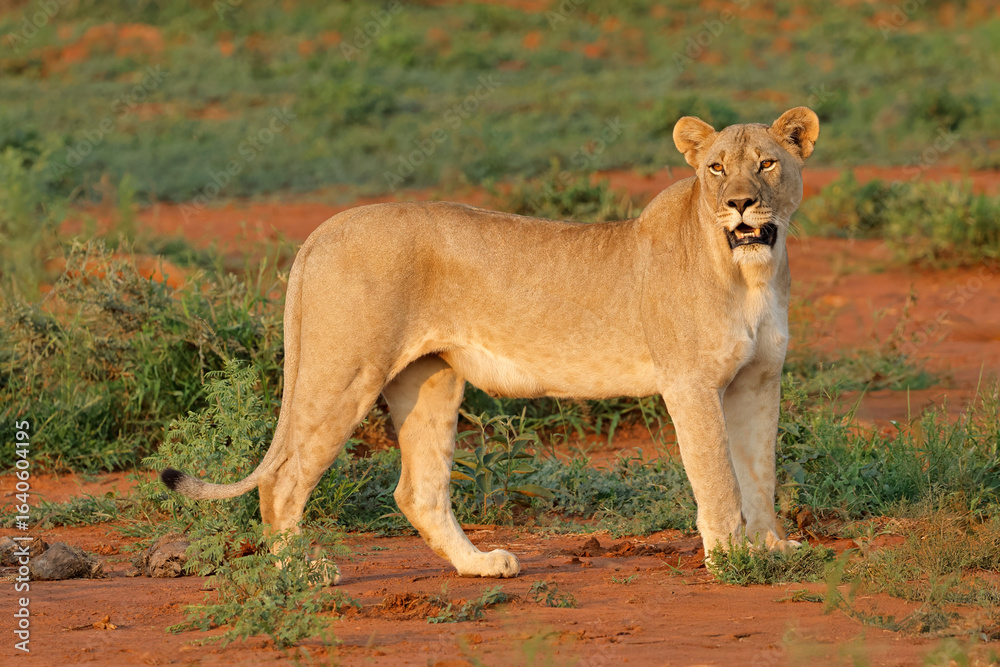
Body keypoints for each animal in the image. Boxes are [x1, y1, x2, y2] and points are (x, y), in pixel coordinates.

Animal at [161, 106, 820, 582]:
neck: (752, 274)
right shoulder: (690, 383)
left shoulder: (759, 381)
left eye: (767, 164)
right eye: (716, 169)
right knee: (282, 480)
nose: (740, 204)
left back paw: (480, 565)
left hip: (430, 379)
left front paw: (773, 548)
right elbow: (719, 477)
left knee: (418, 491)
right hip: (344, 370)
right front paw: (734, 561)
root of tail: (321, 231)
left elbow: (758, 472)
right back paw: (301, 572)